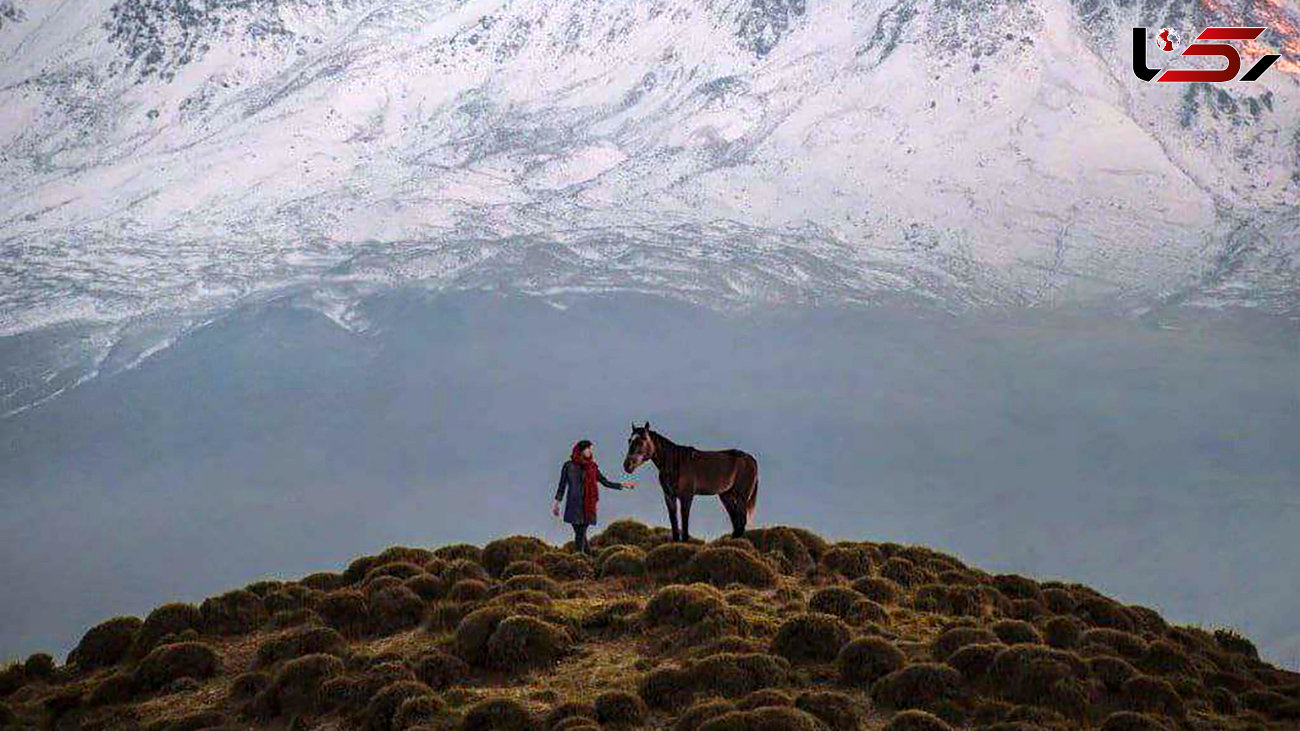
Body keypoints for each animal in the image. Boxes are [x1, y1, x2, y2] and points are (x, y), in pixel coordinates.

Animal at [621, 424, 759, 538]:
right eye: (629, 440)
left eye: (642, 440)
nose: (627, 465)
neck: (675, 463)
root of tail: (750, 459)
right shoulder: (669, 497)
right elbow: (674, 525)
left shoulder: (686, 497)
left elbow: (685, 524)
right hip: (726, 496)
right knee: (736, 523)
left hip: (741, 497)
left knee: (741, 522)